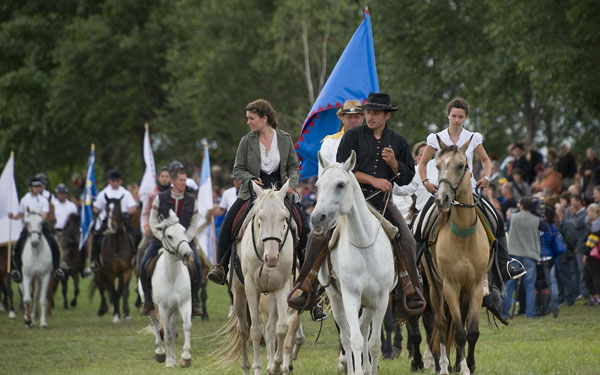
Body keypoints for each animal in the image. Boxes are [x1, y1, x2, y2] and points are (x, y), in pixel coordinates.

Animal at [138, 212, 195, 370]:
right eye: (169, 236)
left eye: (183, 230)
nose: (187, 254)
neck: (172, 276)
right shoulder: (163, 308)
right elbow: (167, 333)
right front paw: (169, 362)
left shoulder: (184, 304)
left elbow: (186, 326)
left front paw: (185, 357)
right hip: (152, 307)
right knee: (156, 326)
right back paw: (161, 353)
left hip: (174, 311)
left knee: (173, 328)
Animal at [219, 181, 296, 374]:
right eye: (260, 219)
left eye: (284, 219)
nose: (272, 258)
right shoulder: (251, 288)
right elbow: (255, 330)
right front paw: (258, 368)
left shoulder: (282, 287)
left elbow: (281, 328)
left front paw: (276, 366)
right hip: (239, 293)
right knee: (244, 329)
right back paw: (246, 367)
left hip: (272, 294)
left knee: (270, 328)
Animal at [312, 152, 396, 375]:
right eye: (318, 185)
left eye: (341, 184)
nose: (316, 218)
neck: (365, 245)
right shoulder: (351, 296)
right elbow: (355, 340)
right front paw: (355, 369)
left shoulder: (381, 299)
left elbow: (374, 343)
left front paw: (370, 368)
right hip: (336, 298)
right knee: (347, 337)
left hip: (368, 303)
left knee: (364, 329)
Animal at [422, 137, 492, 375]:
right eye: (437, 166)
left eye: (461, 166)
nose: (442, 199)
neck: (464, 236)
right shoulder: (450, 286)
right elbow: (459, 332)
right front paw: (462, 368)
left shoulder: (475, 286)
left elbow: (472, 331)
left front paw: (469, 365)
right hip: (435, 288)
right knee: (442, 323)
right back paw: (442, 366)